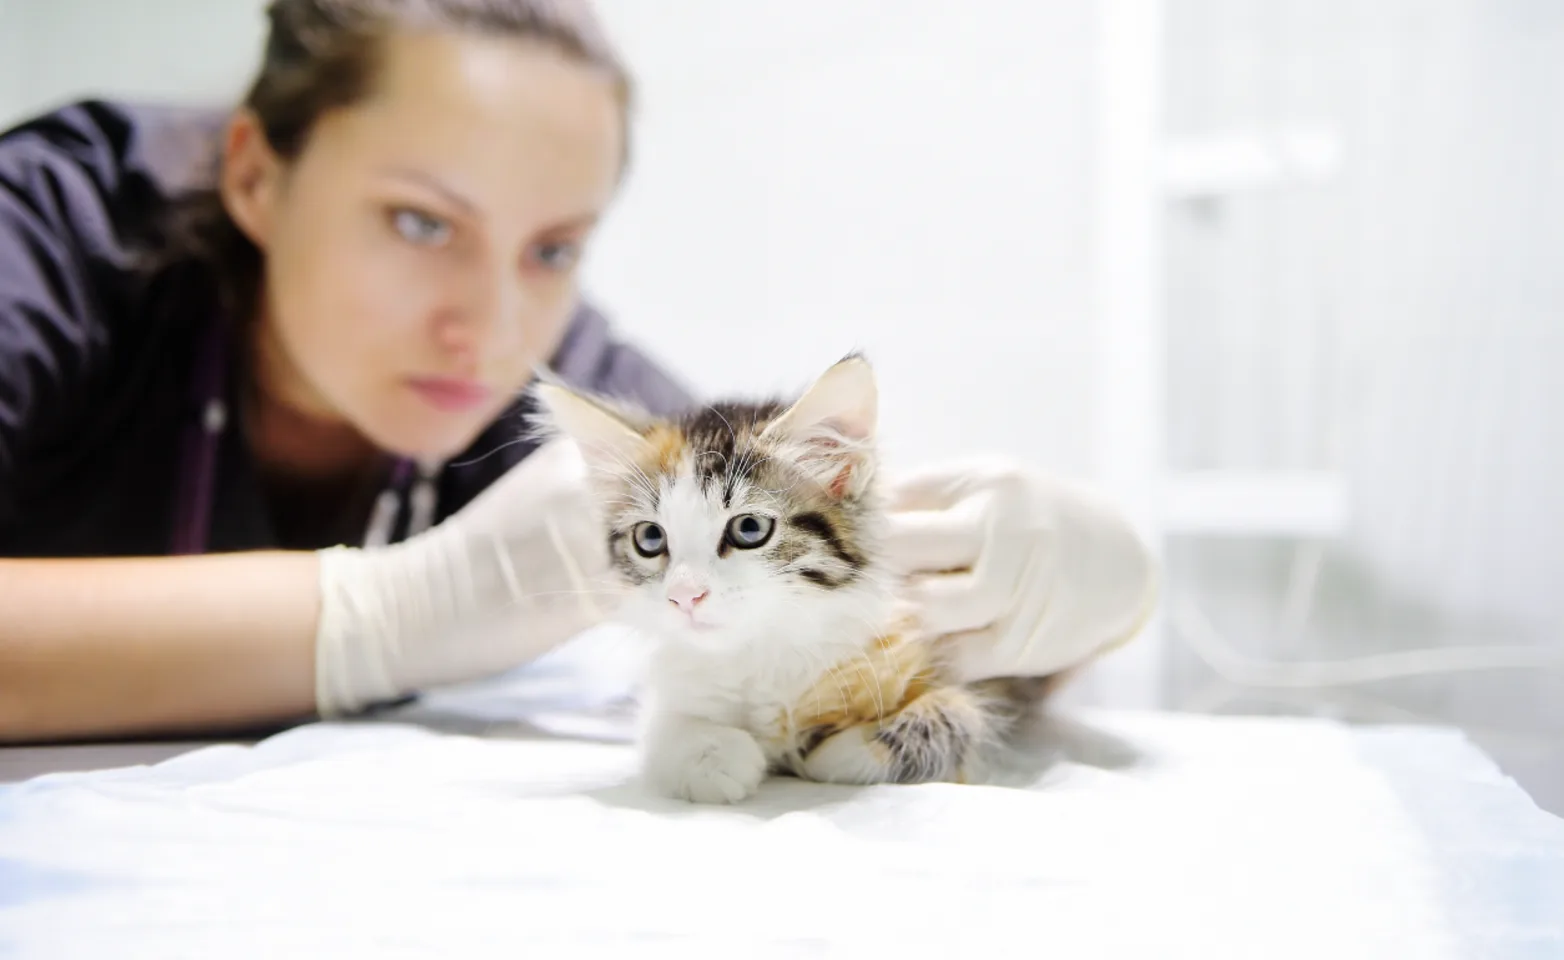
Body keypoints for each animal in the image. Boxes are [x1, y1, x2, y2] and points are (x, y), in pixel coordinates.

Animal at [531, 353, 1044, 806]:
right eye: (650, 538)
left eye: (748, 529)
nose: (684, 596)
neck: (763, 650)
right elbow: (664, 726)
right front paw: (713, 756)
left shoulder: (964, 677)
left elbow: (956, 717)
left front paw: (841, 751)